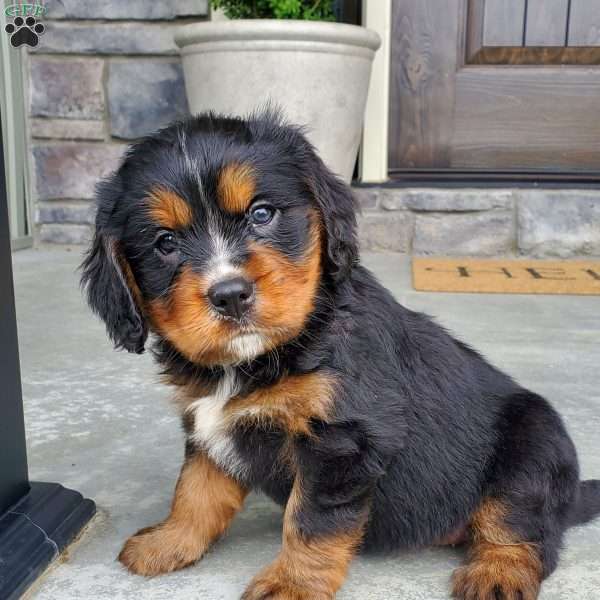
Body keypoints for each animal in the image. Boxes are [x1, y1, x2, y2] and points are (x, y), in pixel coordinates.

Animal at [81, 109, 600, 600]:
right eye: (165, 243)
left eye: (262, 214)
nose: (229, 295)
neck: (258, 359)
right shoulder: (208, 425)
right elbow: (195, 490)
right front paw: (168, 542)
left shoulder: (341, 439)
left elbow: (311, 521)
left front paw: (292, 584)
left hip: (532, 451)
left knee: (521, 528)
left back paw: (497, 573)